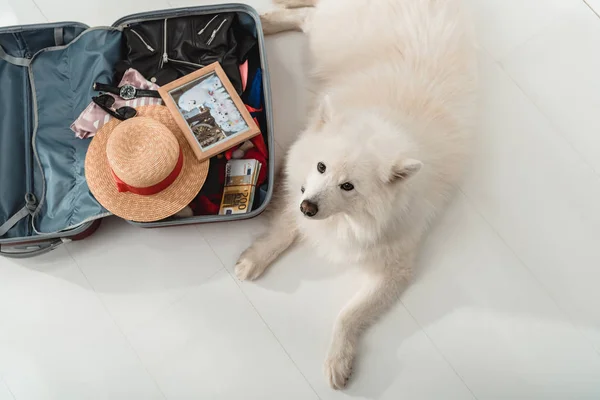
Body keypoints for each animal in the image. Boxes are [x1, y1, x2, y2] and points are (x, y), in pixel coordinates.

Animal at [237, 0, 476, 390]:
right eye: (321, 167)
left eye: (348, 186)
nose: (308, 207)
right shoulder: (299, 192)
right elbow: (283, 231)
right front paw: (255, 259)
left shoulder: (394, 268)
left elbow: (350, 315)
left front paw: (338, 360)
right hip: (327, 34)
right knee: (306, 16)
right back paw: (267, 22)